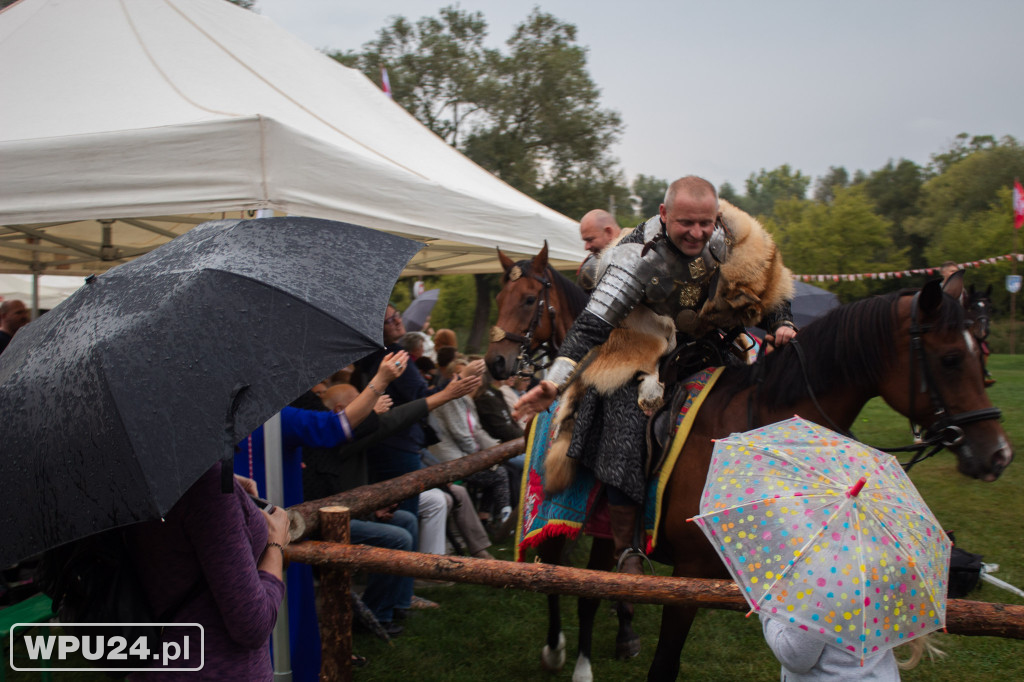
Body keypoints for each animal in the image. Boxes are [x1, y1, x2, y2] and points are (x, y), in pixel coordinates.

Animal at [489, 246, 1015, 679]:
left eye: (973, 353)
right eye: (951, 359)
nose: (998, 454)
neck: (761, 424)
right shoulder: (689, 577)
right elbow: (664, 665)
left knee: (593, 588)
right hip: (556, 512)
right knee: (557, 579)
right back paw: (560, 652)